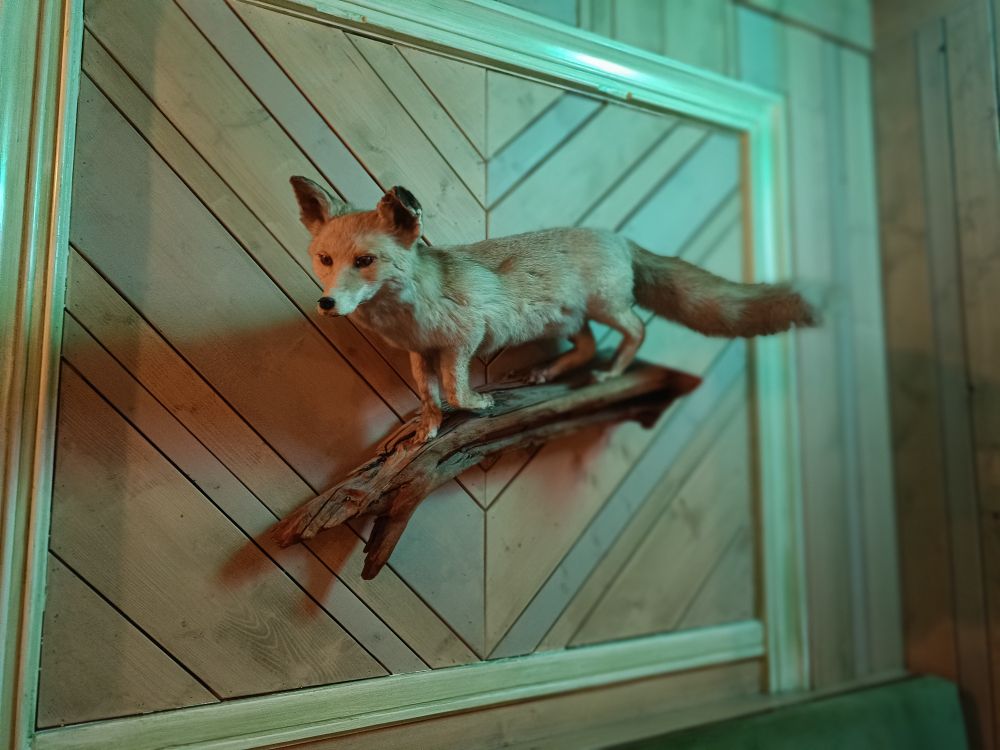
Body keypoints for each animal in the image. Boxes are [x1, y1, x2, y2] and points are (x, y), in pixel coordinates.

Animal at [290, 176, 817, 443]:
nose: (327, 302)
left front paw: (477, 406)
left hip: (607, 308)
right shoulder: (421, 352)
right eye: (325, 259)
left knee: (636, 331)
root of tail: (617, 237)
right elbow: (428, 395)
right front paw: (429, 428)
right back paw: (549, 371)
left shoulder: (463, 339)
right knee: (584, 346)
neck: (409, 312)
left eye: (364, 261)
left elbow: (457, 391)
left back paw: (612, 372)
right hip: (568, 321)